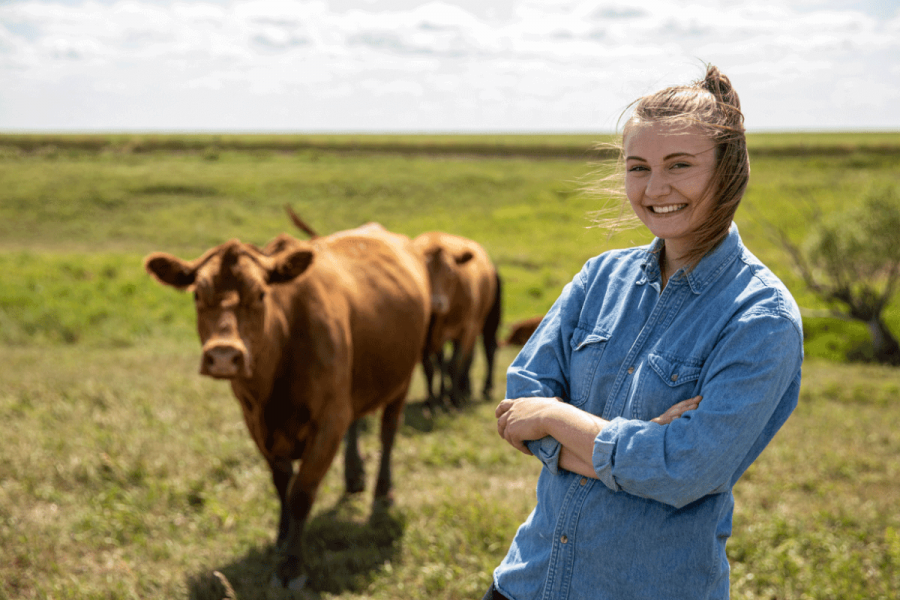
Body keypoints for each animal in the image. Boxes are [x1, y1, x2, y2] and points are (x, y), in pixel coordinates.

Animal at [143, 223, 430, 589]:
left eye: (260, 294)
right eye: (197, 295)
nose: (223, 355)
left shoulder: (328, 421)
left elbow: (301, 493)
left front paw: (292, 567)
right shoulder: (255, 422)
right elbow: (281, 483)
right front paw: (282, 538)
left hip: (401, 381)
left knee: (388, 433)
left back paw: (382, 493)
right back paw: (354, 477)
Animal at [412, 231, 501, 410]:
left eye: (451, 271)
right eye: (423, 271)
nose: (436, 302)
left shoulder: (465, 329)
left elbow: (454, 364)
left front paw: (453, 399)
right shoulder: (426, 337)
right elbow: (432, 367)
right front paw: (432, 400)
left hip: (486, 323)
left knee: (488, 350)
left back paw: (482, 389)